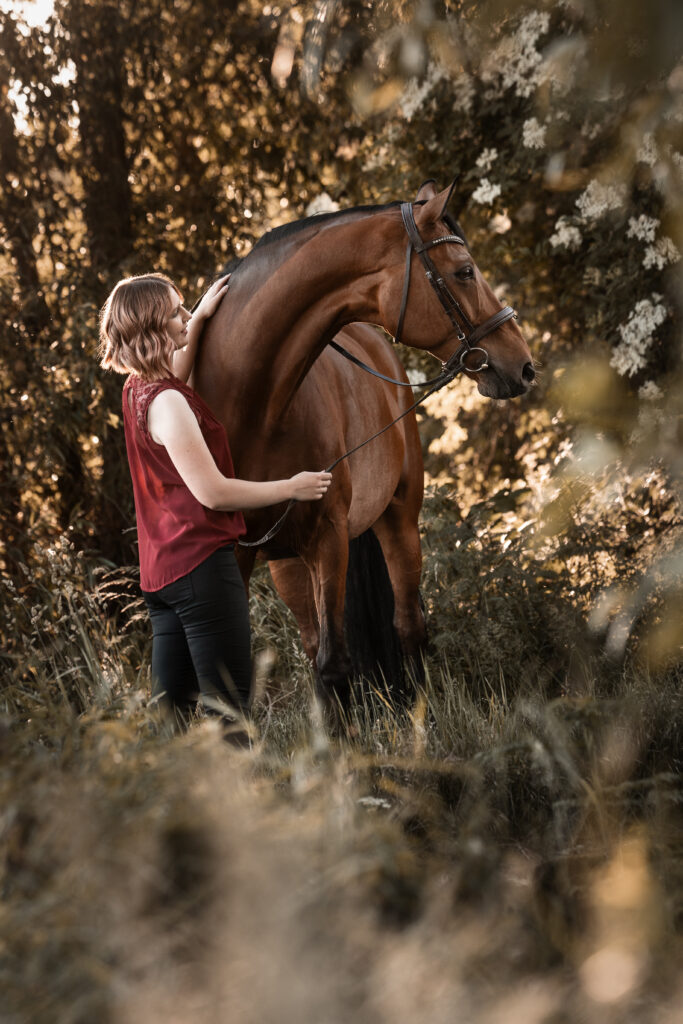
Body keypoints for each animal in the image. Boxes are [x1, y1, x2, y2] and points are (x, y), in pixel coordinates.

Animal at [192, 182, 532, 704]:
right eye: (465, 271)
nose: (524, 364)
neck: (252, 406)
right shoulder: (237, 555)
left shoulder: (330, 538)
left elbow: (336, 663)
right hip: (287, 564)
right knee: (316, 643)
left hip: (399, 520)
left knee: (408, 626)